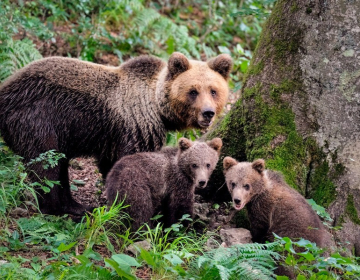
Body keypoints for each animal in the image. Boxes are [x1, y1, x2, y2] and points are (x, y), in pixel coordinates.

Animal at [0, 53, 232, 217]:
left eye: (213, 90)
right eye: (193, 91)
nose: (208, 113)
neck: (157, 108)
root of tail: (7, 90)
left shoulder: (112, 137)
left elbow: (110, 164)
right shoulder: (136, 128)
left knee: (59, 165)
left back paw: (77, 206)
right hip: (38, 120)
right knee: (47, 166)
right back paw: (59, 208)